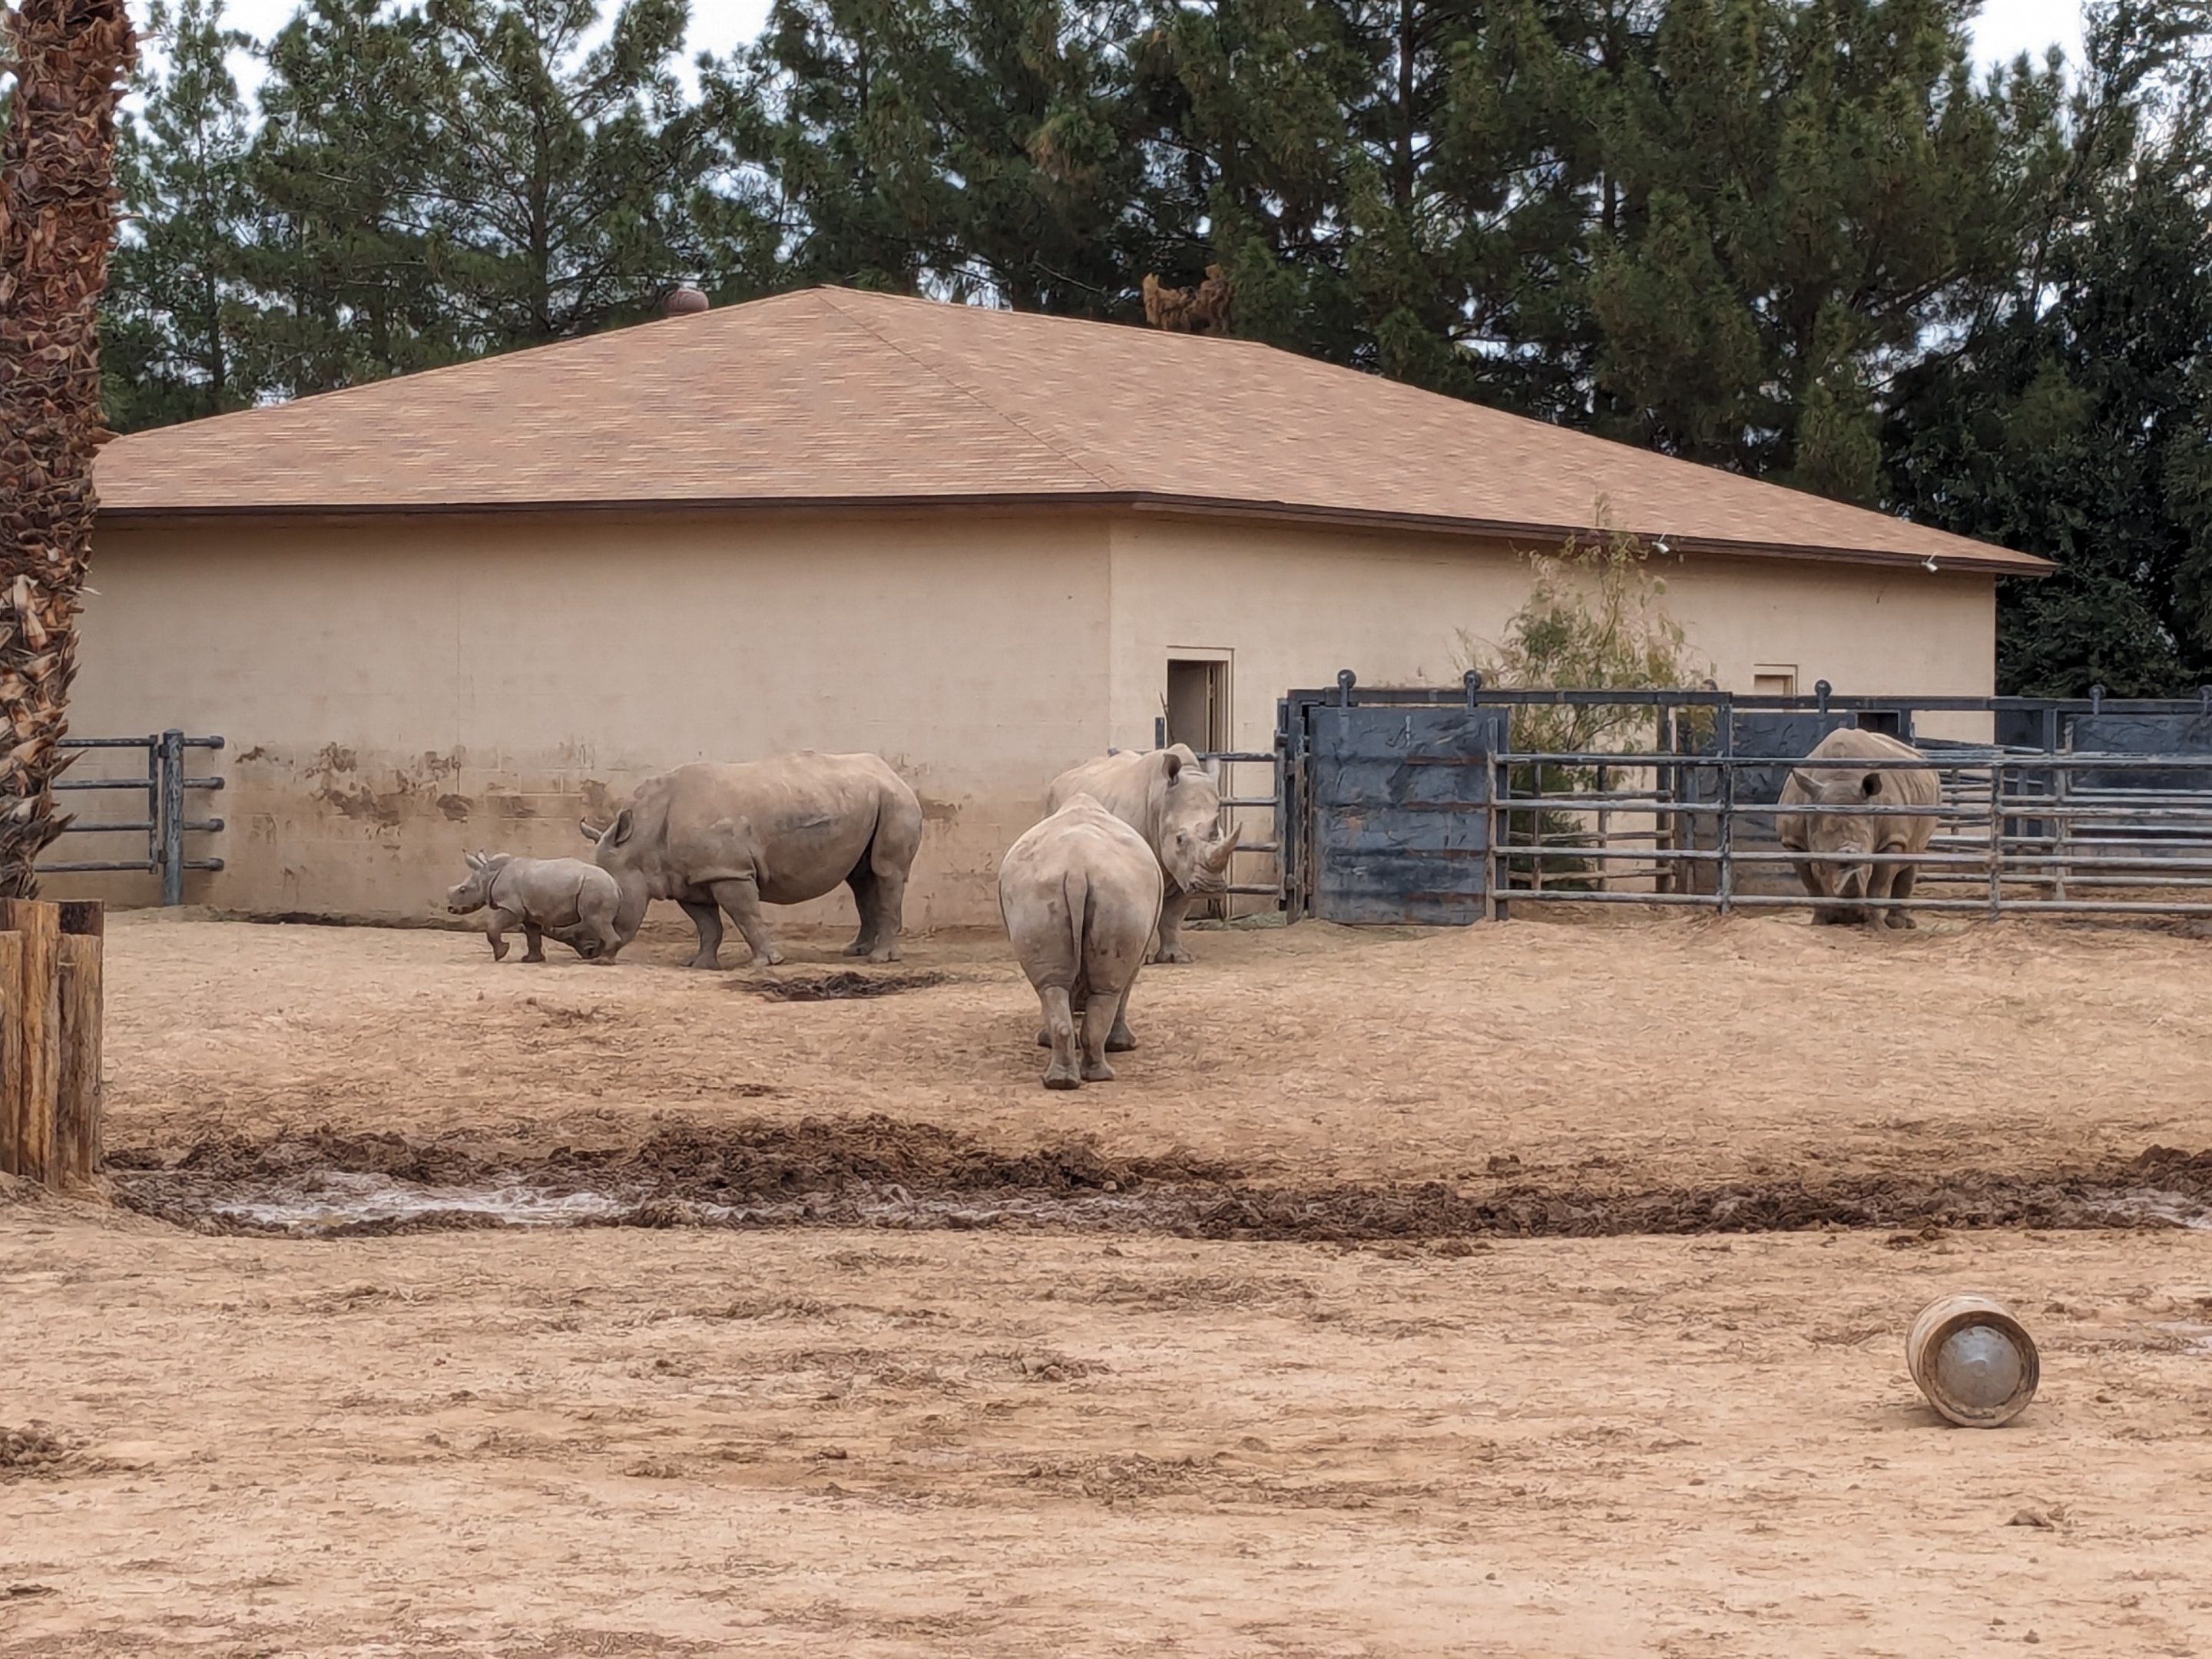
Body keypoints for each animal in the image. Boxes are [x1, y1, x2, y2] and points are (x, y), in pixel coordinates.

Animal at [445, 851, 623, 963]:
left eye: (463, 890)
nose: (450, 909)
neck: (489, 875)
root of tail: (615, 884)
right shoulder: (529, 912)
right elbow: (533, 935)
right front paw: (530, 960)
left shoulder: (511, 907)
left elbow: (493, 926)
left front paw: (501, 954)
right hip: (597, 886)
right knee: (600, 922)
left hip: (596, 887)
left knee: (595, 920)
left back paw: (601, 962)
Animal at [580, 751, 924, 968]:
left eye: (612, 904)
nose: (589, 951)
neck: (640, 841)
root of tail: (892, 772)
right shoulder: (691, 877)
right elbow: (707, 924)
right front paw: (699, 964)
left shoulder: (729, 871)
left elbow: (745, 916)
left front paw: (767, 963)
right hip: (865, 799)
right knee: (861, 879)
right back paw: (855, 952)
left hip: (897, 801)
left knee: (887, 872)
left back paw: (879, 959)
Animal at [998, 794, 1165, 1089]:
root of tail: (1076, 870)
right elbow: (1126, 987)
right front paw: (1123, 1045)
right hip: (1120, 891)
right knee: (1108, 991)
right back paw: (1101, 1074)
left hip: (1039, 890)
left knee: (1051, 987)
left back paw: (1061, 1081)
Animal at [1043, 744, 1235, 963]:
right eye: (1179, 839)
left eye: (1223, 835)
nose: (1210, 888)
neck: (1161, 803)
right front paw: (1142, 959)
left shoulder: (1184, 873)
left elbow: (1173, 917)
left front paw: (1176, 957)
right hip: (1053, 808)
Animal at [1776, 727, 1940, 929]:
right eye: (1821, 867)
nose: (1848, 918)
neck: (1840, 780)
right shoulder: (1793, 842)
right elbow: (1811, 885)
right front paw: (1819, 923)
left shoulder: (1892, 839)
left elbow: (1879, 884)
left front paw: (1875, 926)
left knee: (1914, 854)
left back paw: (1900, 924)